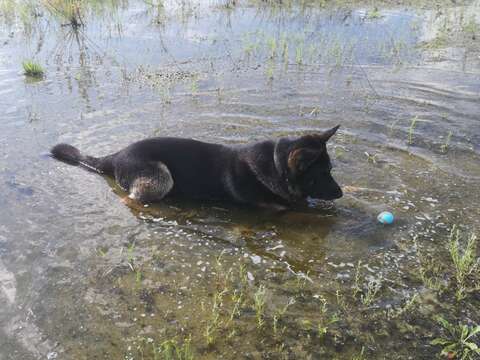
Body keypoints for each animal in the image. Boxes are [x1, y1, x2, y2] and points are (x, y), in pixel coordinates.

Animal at [51, 126, 342, 208]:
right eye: (323, 174)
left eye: (331, 170)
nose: (340, 194)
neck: (274, 164)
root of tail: (117, 154)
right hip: (161, 178)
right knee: (131, 197)